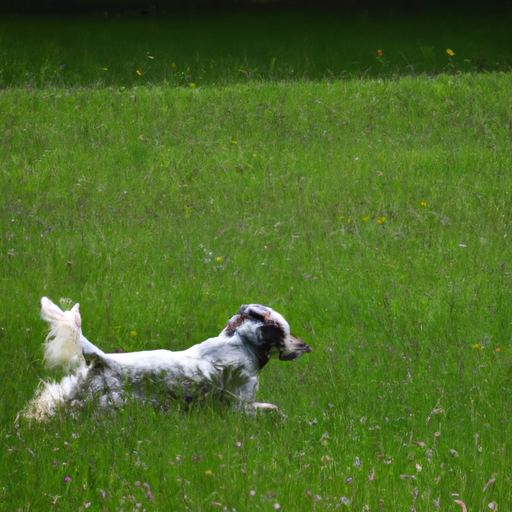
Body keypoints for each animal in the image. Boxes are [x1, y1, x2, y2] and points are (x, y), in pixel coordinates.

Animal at [23, 296, 312, 420]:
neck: (241, 343)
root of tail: (103, 358)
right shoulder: (239, 400)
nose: (306, 346)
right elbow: (270, 409)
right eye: (284, 330)